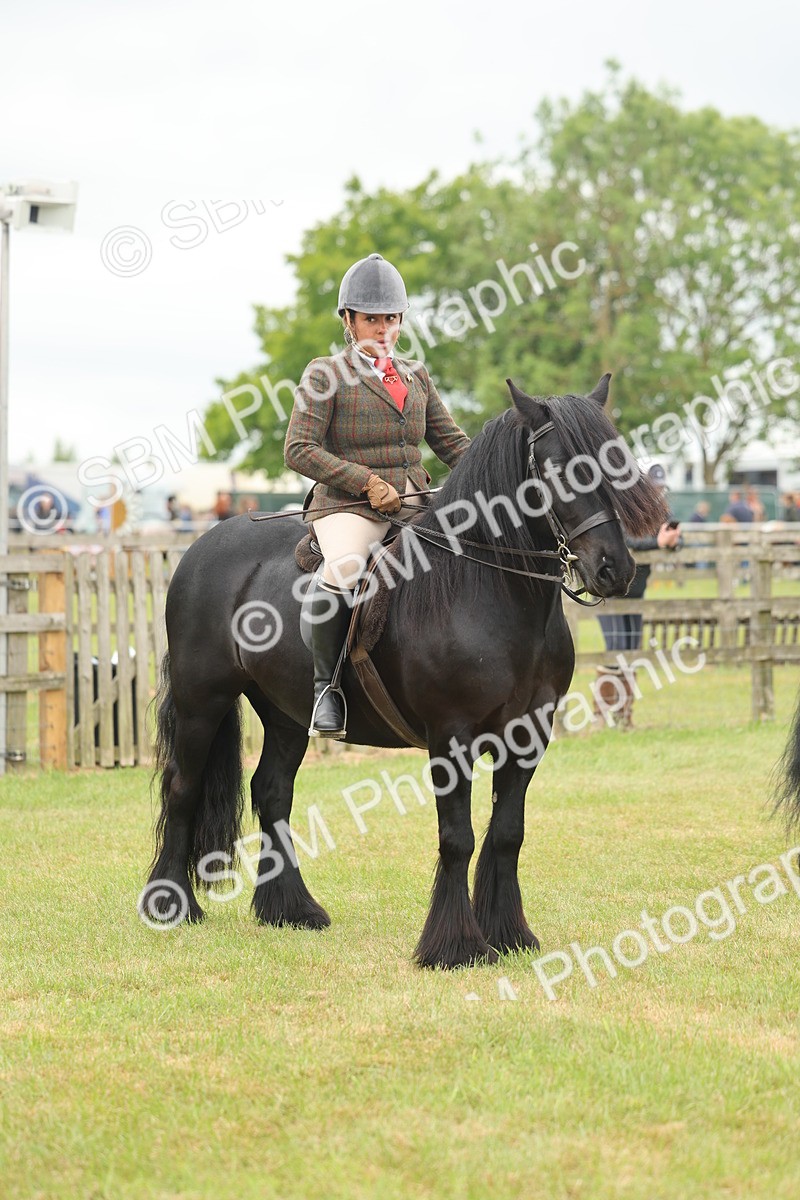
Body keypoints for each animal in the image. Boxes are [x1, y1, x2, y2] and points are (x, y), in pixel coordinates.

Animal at [144, 375, 666, 969]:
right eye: (559, 469)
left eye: (616, 462)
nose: (615, 570)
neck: (488, 589)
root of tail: (201, 547)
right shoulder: (451, 737)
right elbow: (458, 837)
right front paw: (455, 946)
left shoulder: (528, 735)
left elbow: (507, 833)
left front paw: (509, 934)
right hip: (201, 701)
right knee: (182, 786)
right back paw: (173, 906)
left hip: (285, 712)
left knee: (272, 790)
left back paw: (291, 909)